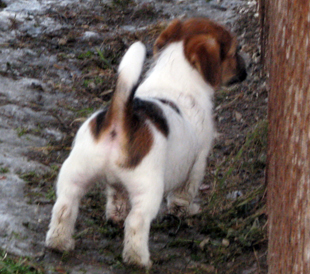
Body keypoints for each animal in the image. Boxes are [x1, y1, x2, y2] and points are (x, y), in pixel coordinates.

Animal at [45, 17, 247, 268]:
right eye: (235, 51)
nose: (246, 71)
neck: (175, 74)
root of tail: (119, 118)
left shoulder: (117, 185)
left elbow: (117, 197)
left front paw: (116, 214)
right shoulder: (198, 161)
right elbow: (184, 193)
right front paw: (185, 210)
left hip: (75, 173)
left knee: (64, 207)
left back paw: (59, 242)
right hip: (148, 188)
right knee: (136, 222)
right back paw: (138, 259)